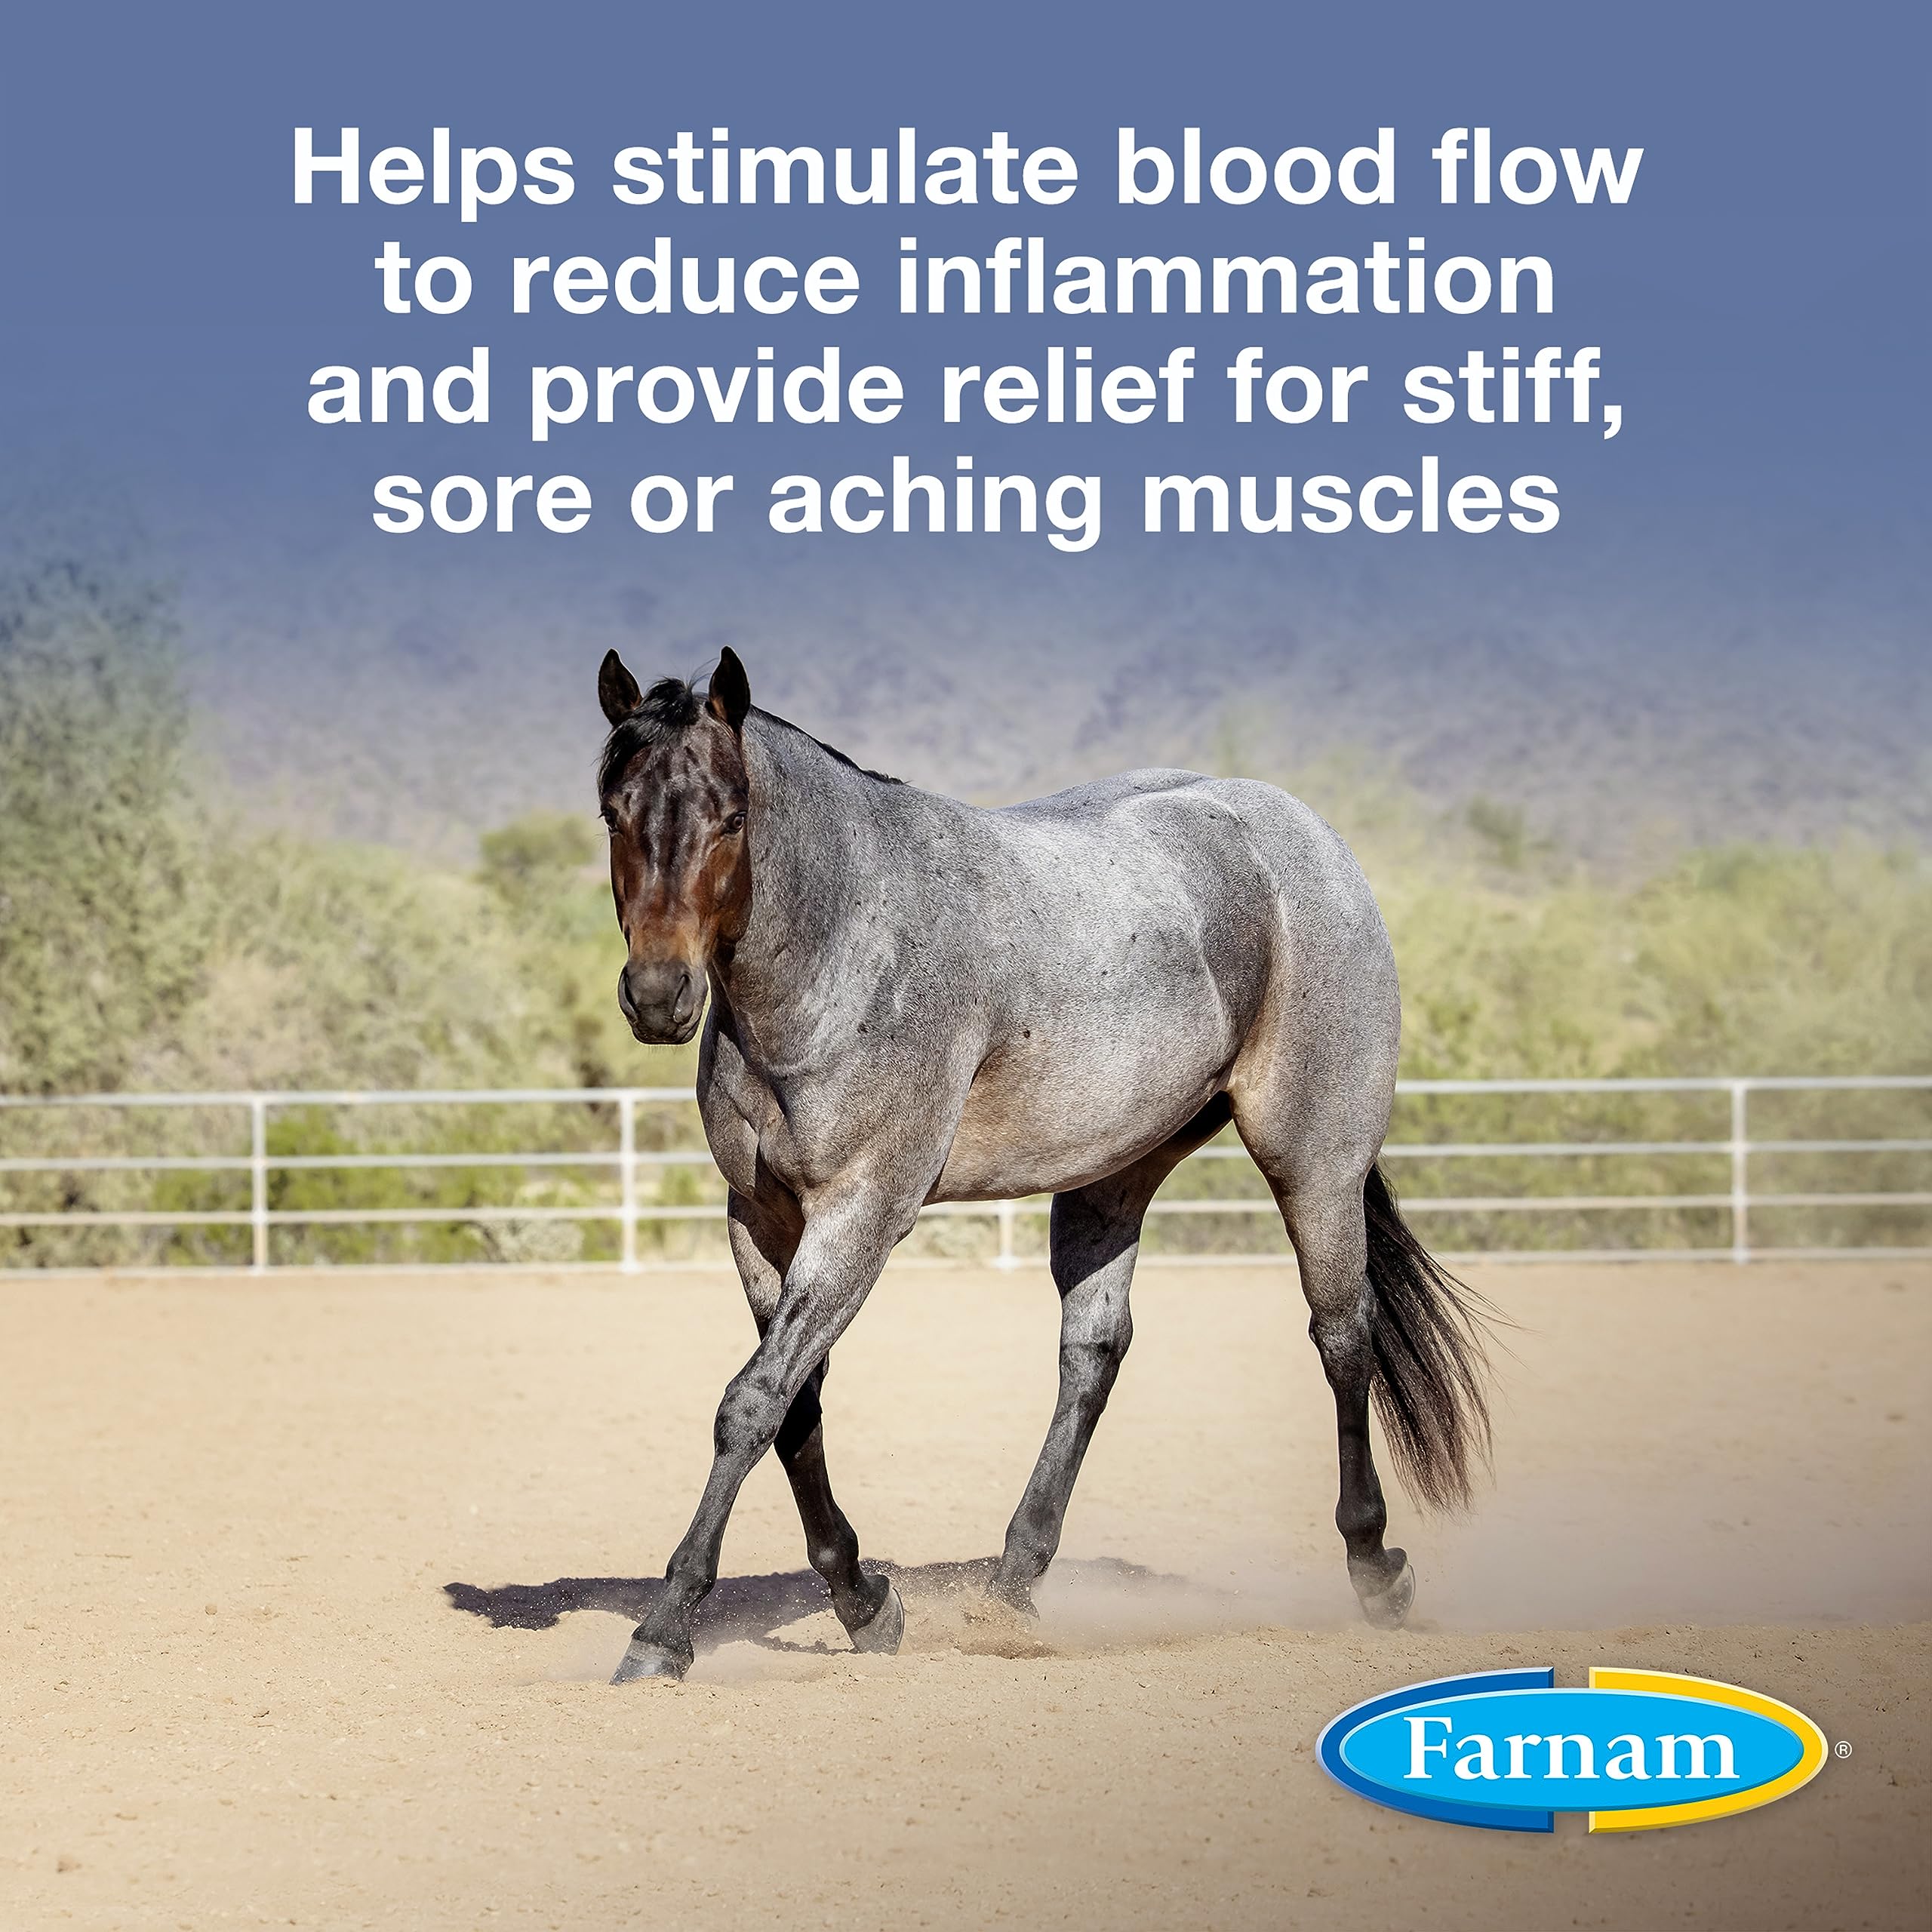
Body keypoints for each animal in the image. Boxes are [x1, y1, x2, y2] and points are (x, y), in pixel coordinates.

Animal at [593, 645, 1493, 1682]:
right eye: (614, 811)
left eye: (732, 817)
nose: (659, 995)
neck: (847, 944)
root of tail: (1302, 835)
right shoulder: (760, 1217)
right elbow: (794, 1406)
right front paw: (863, 1601)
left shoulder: (861, 1213)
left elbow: (751, 1403)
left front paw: (663, 1632)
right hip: (1114, 1173)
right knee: (1093, 1352)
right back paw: (1012, 1585)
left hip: (1314, 1161)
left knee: (1343, 1335)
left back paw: (1374, 1565)